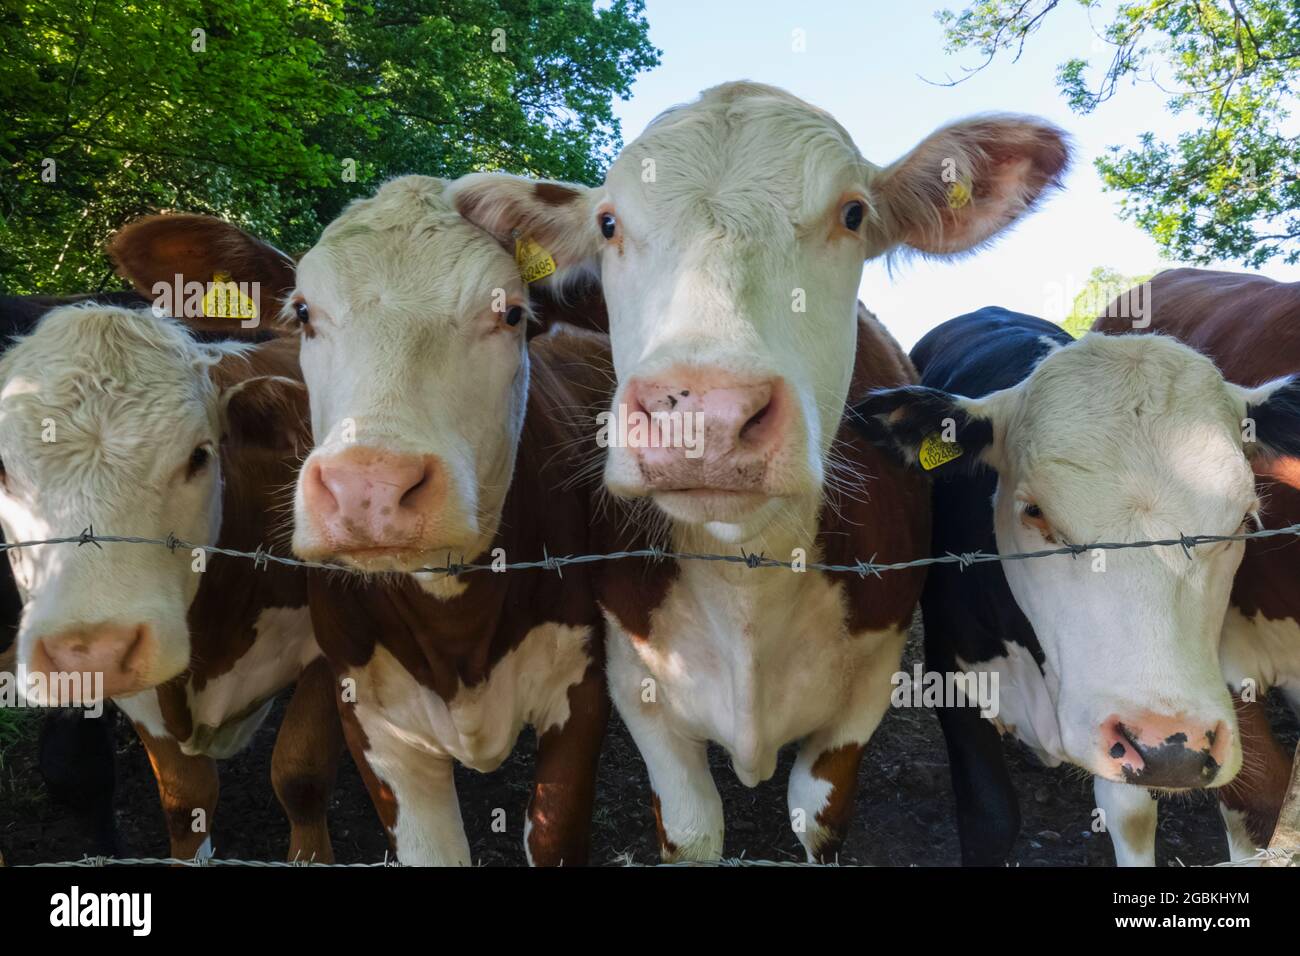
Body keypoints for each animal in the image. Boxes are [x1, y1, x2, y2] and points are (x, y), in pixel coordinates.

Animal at [441, 80, 1071, 858]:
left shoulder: (869, 686)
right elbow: (690, 827)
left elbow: (817, 815)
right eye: (609, 223)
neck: (747, 583)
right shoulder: (637, 682)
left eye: (853, 213)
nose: (705, 416)